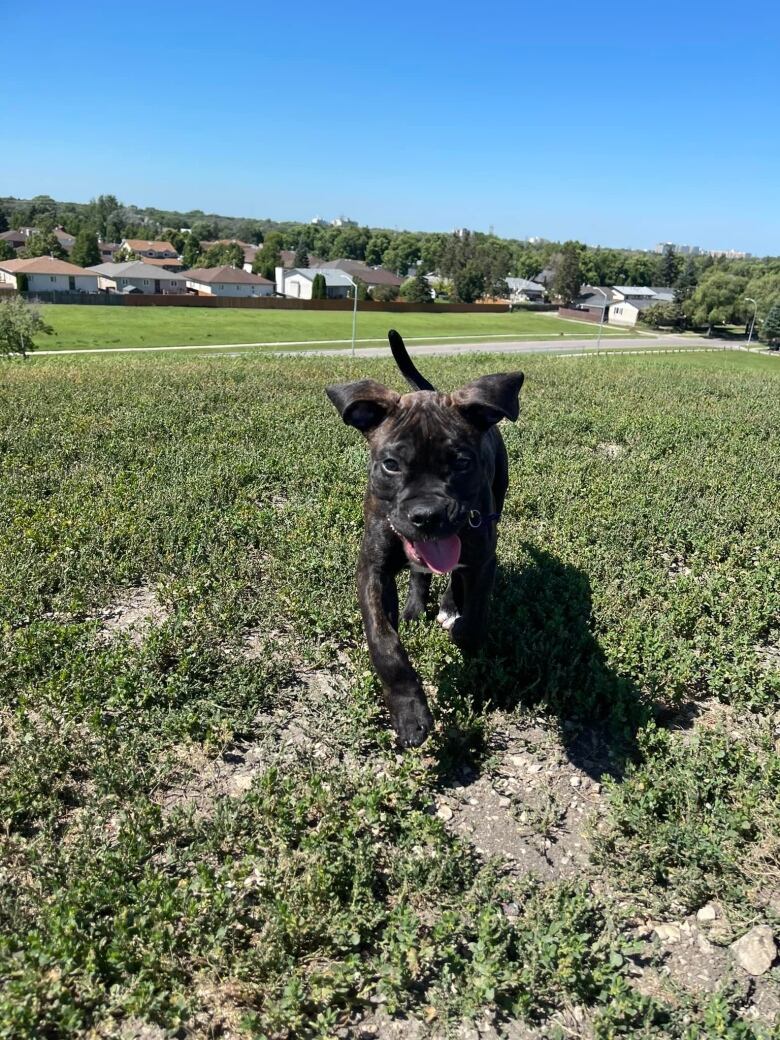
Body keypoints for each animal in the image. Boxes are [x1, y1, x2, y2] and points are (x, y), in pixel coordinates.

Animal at [324, 332, 526, 748]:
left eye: (462, 462)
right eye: (391, 464)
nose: (427, 515)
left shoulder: (483, 561)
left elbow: (475, 616)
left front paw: (461, 629)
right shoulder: (372, 569)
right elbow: (384, 642)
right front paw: (409, 713)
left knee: (452, 578)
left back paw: (447, 606)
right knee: (421, 572)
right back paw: (416, 606)